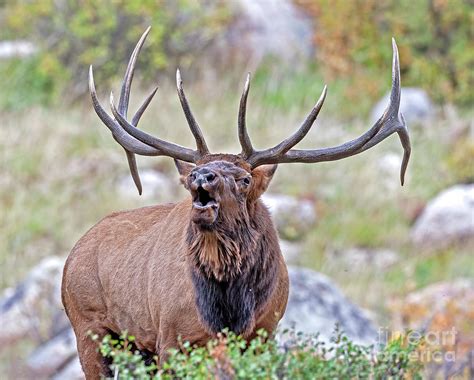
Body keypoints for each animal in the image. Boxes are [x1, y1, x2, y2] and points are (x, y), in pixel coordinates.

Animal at [62, 26, 412, 378]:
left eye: (245, 179)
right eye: (192, 178)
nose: (201, 176)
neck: (229, 312)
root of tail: (73, 254)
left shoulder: (264, 332)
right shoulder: (170, 338)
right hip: (89, 327)